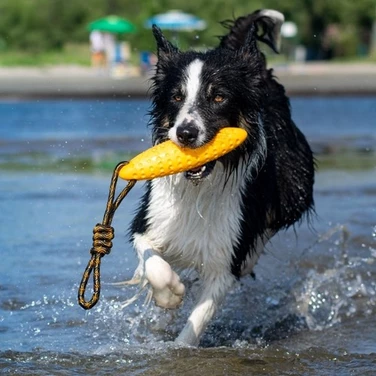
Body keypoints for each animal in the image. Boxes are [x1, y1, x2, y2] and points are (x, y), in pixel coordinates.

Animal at [126, 9, 314, 346]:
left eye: (218, 98)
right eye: (176, 97)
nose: (186, 133)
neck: (200, 188)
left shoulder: (225, 258)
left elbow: (196, 323)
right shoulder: (149, 220)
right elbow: (153, 262)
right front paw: (170, 294)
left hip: (296, 186)